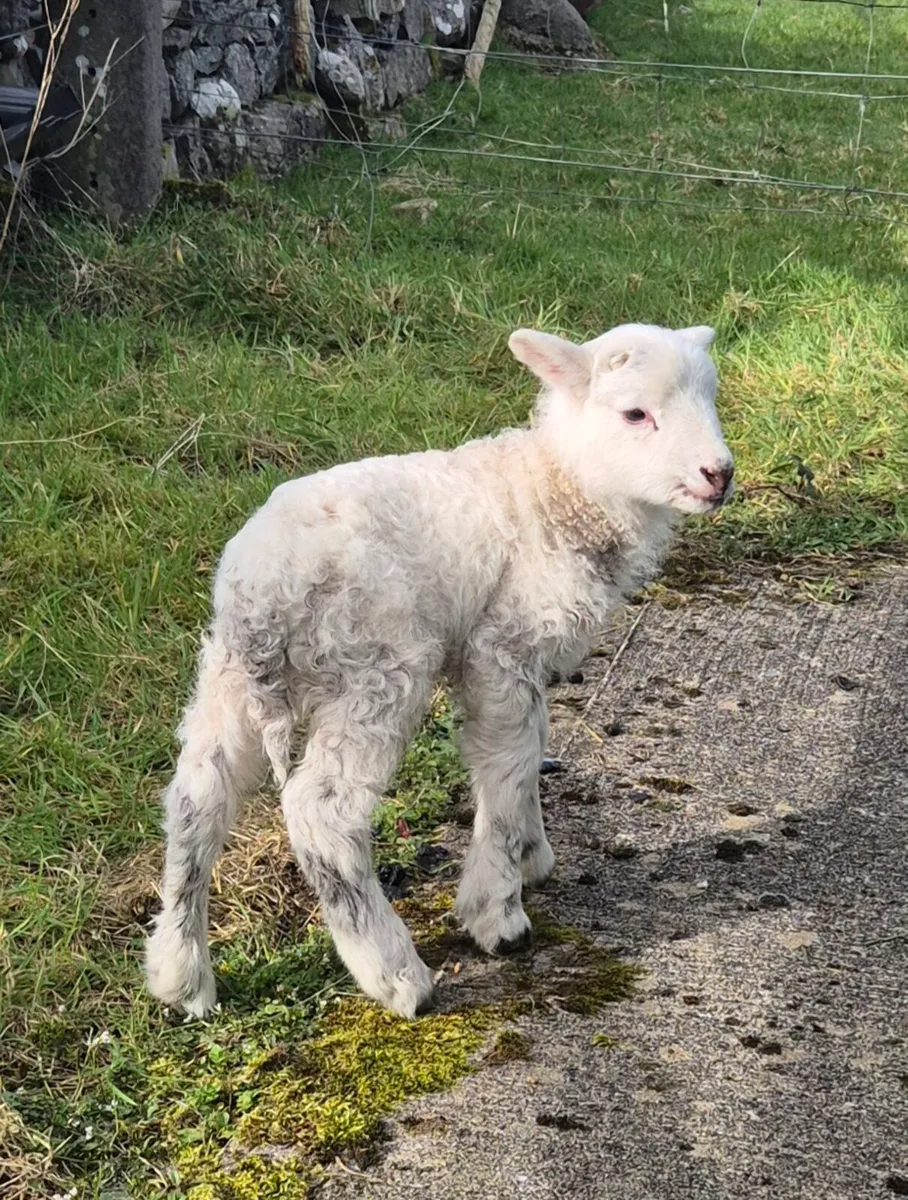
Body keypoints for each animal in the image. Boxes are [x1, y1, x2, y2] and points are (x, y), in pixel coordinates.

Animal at [145, 321, 734, 1020]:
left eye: (710, 397)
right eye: (635, 414)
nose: (719, 474)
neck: (555, 491)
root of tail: (262, 594)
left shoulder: (521, 657)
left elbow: (532, 745)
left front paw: (531, 855)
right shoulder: (500, 645)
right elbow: (506, 763)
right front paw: (497, 909)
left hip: (228, 677)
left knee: (196, 797)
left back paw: (181, 973)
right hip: (374, 668)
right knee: (323, 812)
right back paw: (395, 974)